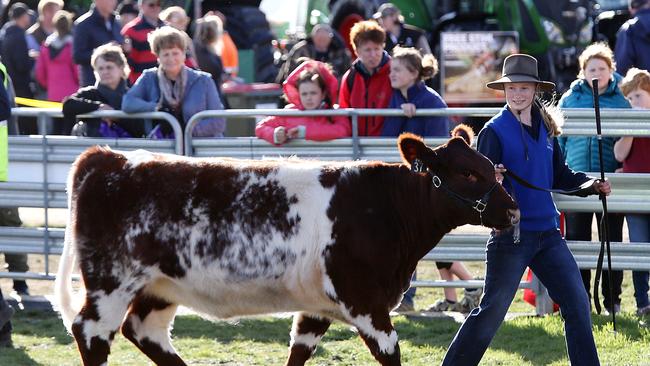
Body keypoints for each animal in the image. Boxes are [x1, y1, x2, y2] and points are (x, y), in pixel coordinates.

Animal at [57, 129, 516, 366]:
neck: (382, 205)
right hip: (111, 283)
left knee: (144, 331)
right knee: (93, 333)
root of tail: (107, 158)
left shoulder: (317, 308)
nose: (513, 210)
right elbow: (390, 353)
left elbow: (299, 352)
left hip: (160, 287)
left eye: (491, 168)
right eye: (466, 173)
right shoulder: (366, 303)